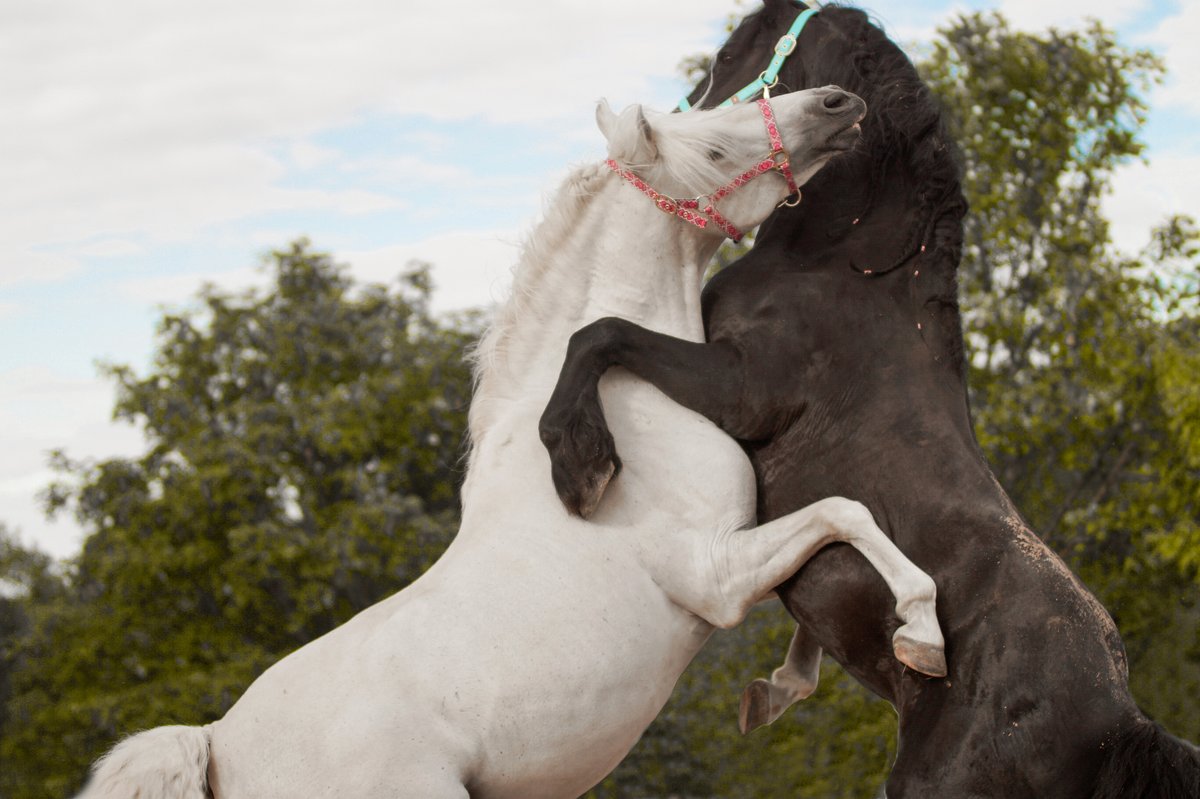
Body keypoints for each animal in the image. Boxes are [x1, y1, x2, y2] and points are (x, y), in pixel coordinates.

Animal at [77, 87, 948, 799]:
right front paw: (922, 634)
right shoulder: (715, 572)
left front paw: (777, 687)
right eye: (710, 148)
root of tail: (216, 744)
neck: (628, 408)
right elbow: (846, 512)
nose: (836, 103)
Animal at [538, 2, 1200, 796]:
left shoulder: (738, 389)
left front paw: (579, 466)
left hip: (933, 783)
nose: (673, 128)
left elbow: (599, 333)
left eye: (728, 56)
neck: (843, 265)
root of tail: (1120, 721)